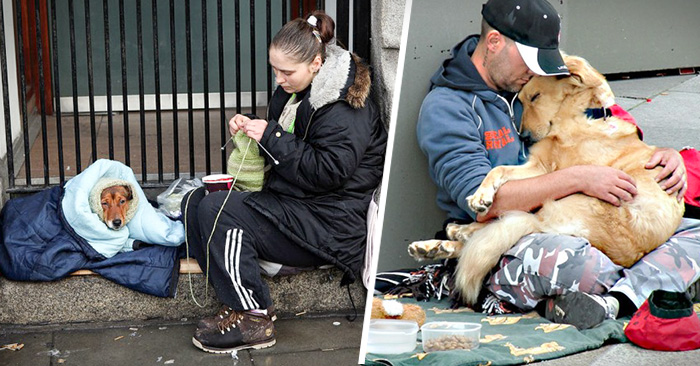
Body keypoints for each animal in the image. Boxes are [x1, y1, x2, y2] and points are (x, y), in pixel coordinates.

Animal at [408, 55, 688, 306]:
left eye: (535, 96)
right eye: (520, 99)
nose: (524, 136)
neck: (578, 115)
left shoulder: (551, 170)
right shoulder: (538, 166)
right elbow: (497, 170)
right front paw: (481, 194)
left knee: (493, 231)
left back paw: (454, 234)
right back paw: (434, 246)